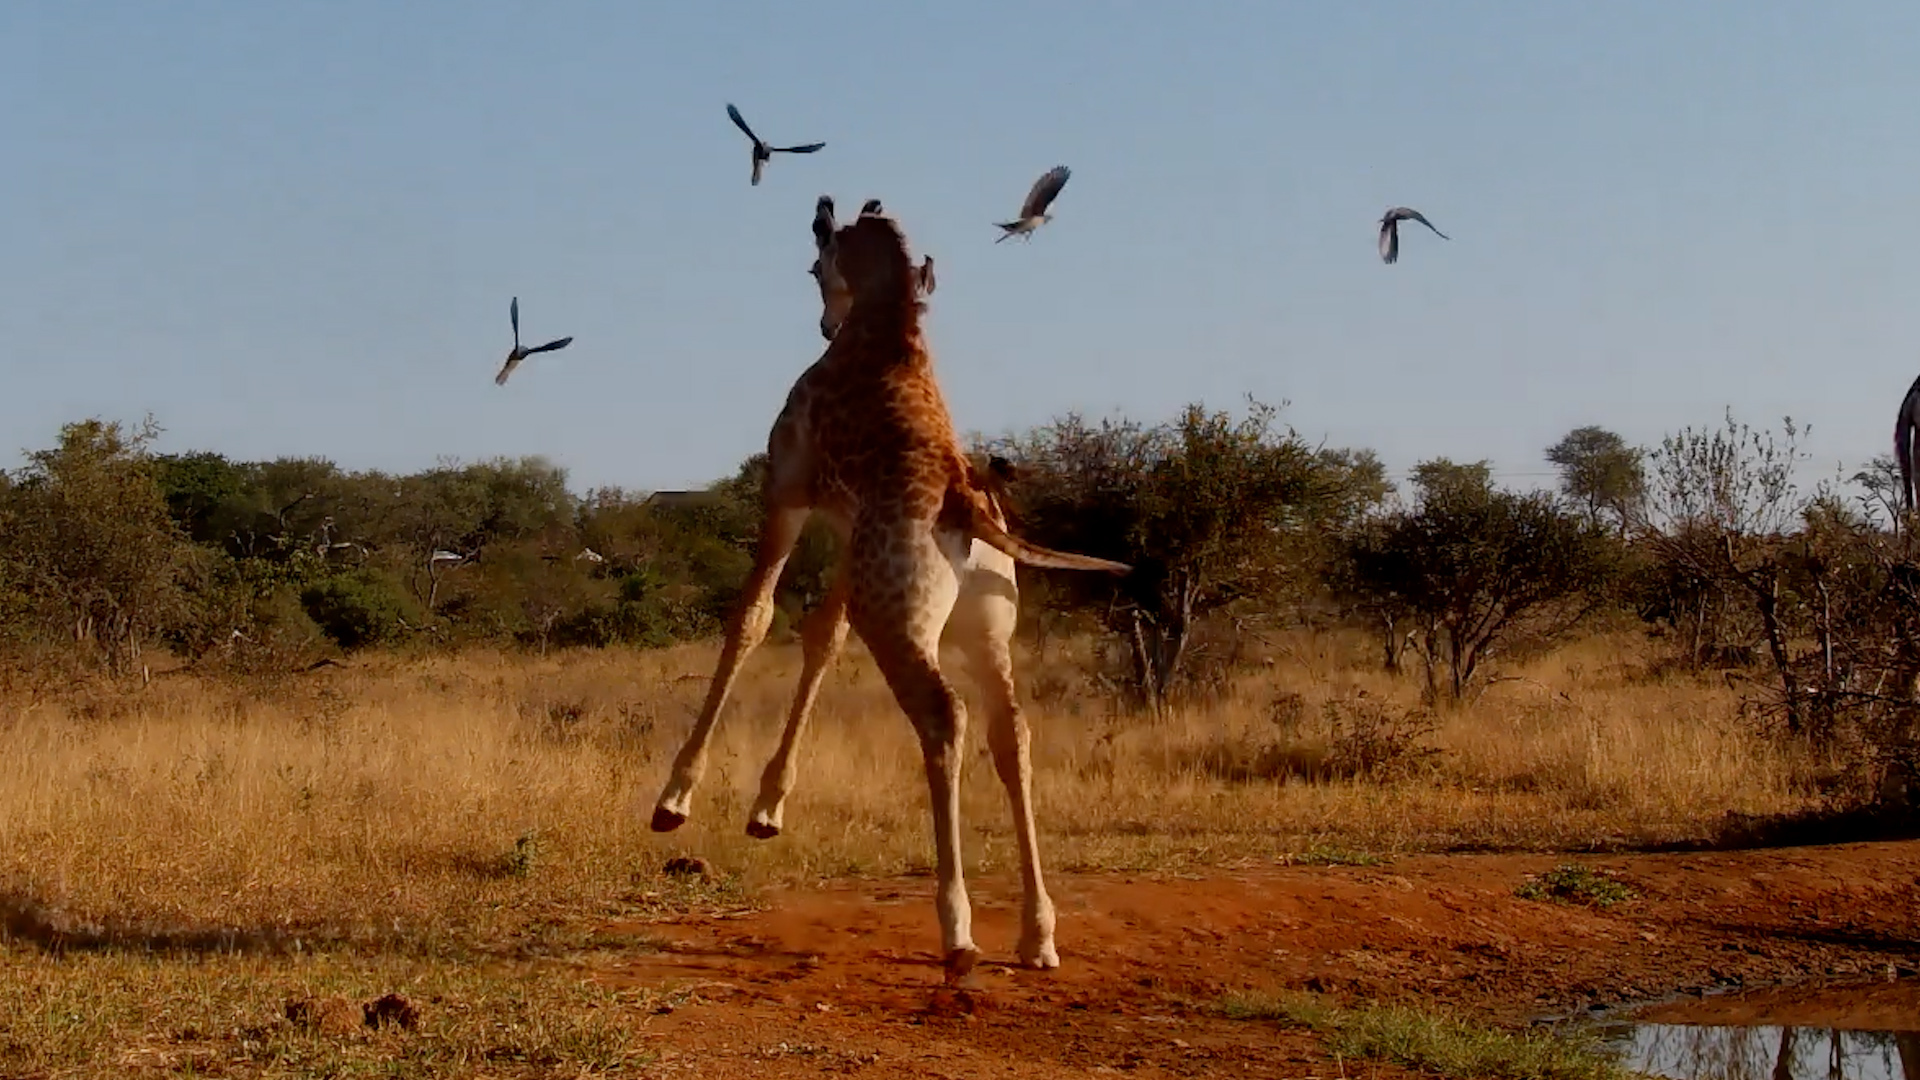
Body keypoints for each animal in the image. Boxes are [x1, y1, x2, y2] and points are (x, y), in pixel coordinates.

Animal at [649, 195, 1130, 980]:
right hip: (982, 625)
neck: (891, 325)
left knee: (944, 716)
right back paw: (1038, 935)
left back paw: (959, 932)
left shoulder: (786, 486)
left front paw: (676, 799)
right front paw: (766, 809)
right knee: (1011, 730)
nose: (824, 321)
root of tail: (967, 506)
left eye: (813, 264)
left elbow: (753, 617)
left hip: (900, 619)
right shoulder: (852, 534)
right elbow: (821, 633)